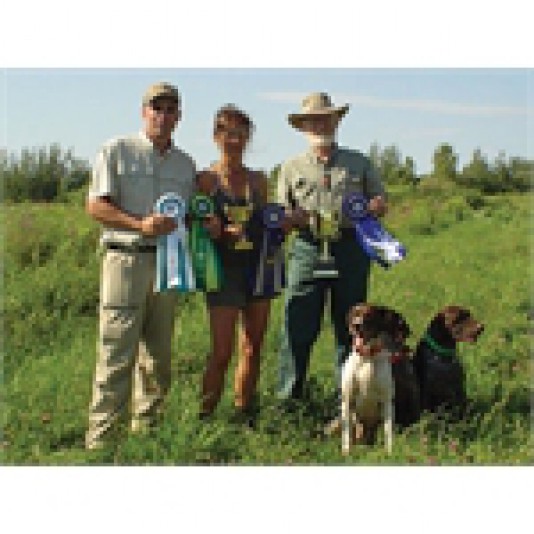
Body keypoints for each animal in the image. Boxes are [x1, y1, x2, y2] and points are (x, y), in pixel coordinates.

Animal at [342, 306, 412, 456]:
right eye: (355, 314)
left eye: (369, 316)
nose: (356, 325)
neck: (367, 357)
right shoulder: (347, 400)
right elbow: (346, 433)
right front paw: (346, 453)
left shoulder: (386, 402)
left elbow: (388, 431)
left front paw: (389, 452)